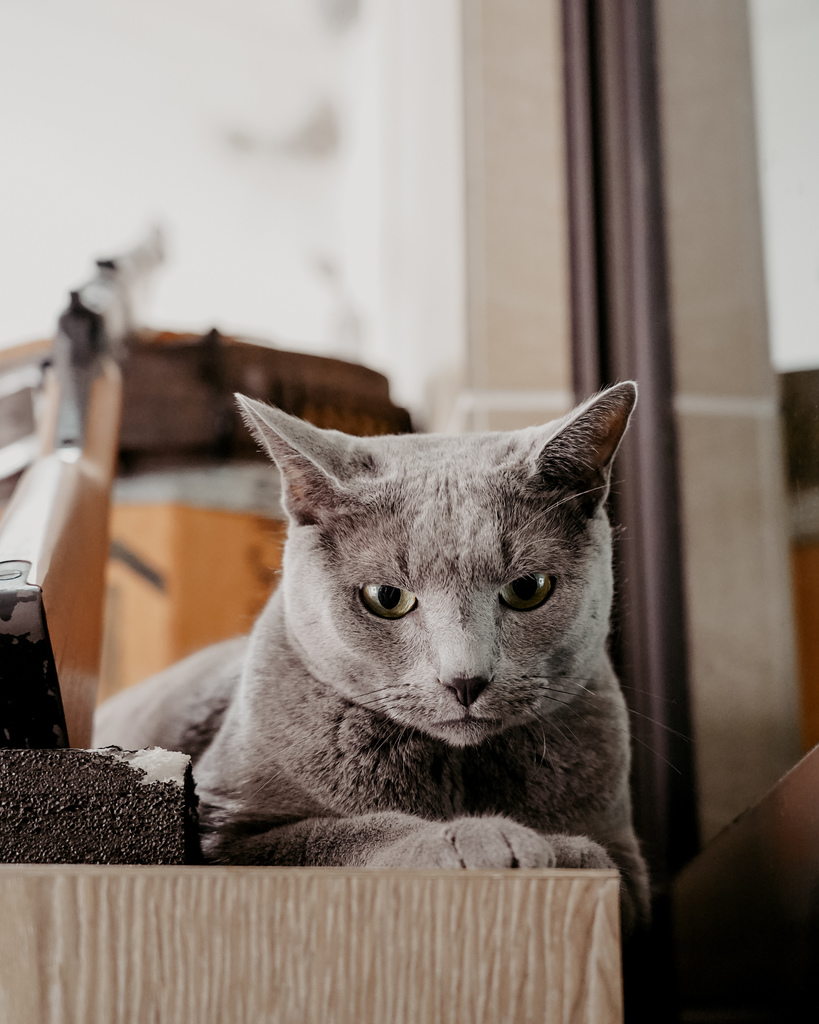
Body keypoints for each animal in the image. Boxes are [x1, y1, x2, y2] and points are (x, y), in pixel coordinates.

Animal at [94, 382, 647, 929]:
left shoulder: (630, 866)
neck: (455, 766)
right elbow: (339, 834)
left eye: (529, 588)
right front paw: (482, 838)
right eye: (386, 597)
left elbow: (603, 860)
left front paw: (542, 845)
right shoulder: (222, 829)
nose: (465, 679)